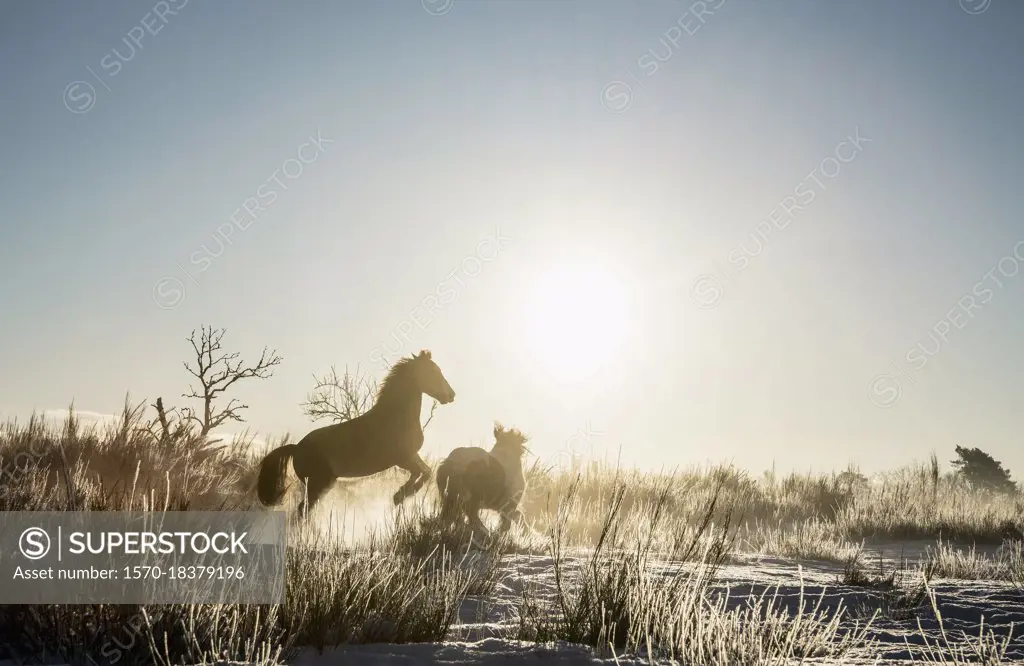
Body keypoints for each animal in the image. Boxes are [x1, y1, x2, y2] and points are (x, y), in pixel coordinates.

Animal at [260, 350, 456, 516]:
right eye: (433, 372)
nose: (451, 395)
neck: (396, 417)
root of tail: (296, 448)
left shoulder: (412, 455)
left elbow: (427, 471)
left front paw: (399, 496)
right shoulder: (401, 459)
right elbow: (420, 473)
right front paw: (400, 495)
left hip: (320, 485)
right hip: (318, 483)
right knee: (303, 510)